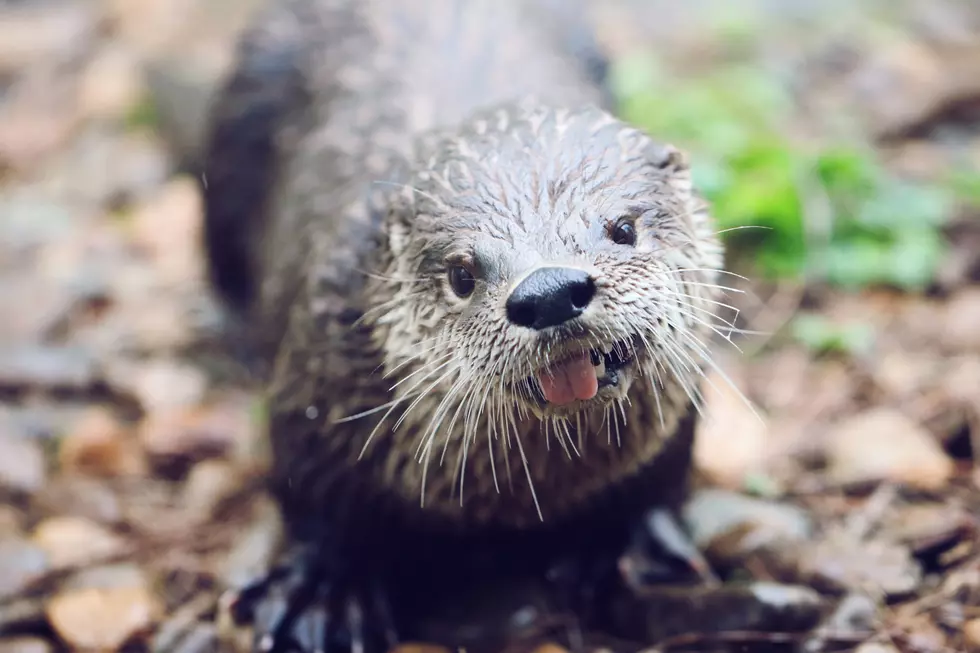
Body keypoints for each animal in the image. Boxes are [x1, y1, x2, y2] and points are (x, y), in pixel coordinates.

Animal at [203, 0, 724, 648]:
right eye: (461, 274)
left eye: (623, 228)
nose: (550, 291)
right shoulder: (316, 377)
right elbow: (314, 493)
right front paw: (323, 594)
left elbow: (663, 468)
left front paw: (628, 545)